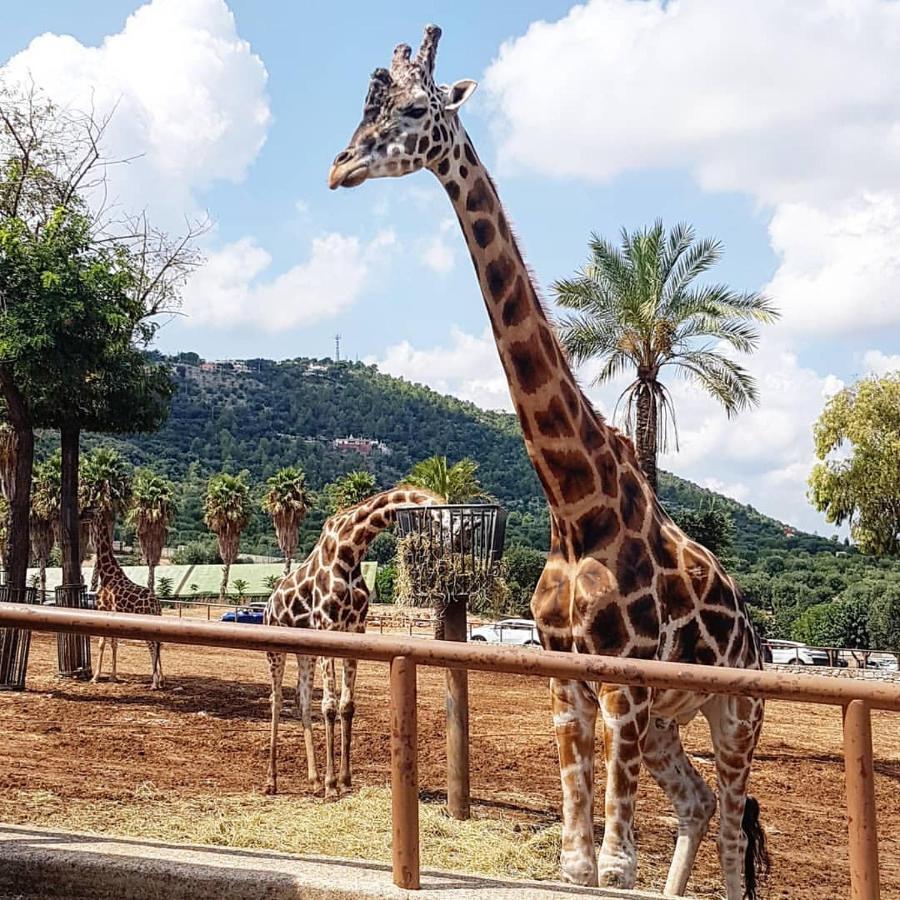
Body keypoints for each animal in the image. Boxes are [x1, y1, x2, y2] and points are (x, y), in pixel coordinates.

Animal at [90, 512, 164, 688]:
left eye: (88, 509)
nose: (80, 515)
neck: (107, 575)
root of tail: (157, 605)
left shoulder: (102, 609)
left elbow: (102, 643)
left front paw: (95, 676)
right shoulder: (113, 616)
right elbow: (114, 643)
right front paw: (113, 676)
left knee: (152, 645)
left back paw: (154, 682)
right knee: (158, 644)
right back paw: (161, 679)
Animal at [260, 488, 440, 800]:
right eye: (441, 518)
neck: (350, 551)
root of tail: (268, 604)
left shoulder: (355, 629)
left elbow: (346, 706)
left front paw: (343, 780)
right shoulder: (328, 626)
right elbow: (329, 706)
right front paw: (332, 785)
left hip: (305, 652)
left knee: (301, 699)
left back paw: (314, 780)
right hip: (276, 648)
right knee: (276, 699)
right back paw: (273, 781)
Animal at [326, 24, 768, 896]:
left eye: (416, 109)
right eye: (365, 107)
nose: (340, 167)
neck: (576, 506)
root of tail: (763, 642)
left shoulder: (626, 680)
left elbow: (614, 867)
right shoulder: (568, 679)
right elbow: (577, 860)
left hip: (733, 715)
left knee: (735, 828)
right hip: (668, 725)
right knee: (699, 805)